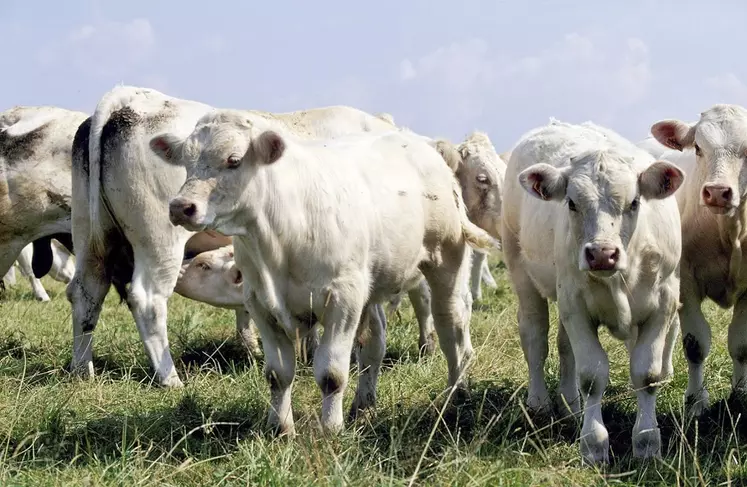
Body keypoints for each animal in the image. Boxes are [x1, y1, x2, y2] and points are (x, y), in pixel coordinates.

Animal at [66, 85, 410, 388]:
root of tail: (131, 98)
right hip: (159, 241)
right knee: (148, 300)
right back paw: (169, 378)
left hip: (89, 235)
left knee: (85, 292)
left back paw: (83, 371)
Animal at [150, 110, 502, 434]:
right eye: (185, 161)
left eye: (233, 160)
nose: (180, 207)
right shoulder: (260, 303)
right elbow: (278, 374)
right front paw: (280, 428)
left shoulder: (341, 300)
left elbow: (332, 374)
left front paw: (331, 429)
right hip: (371, 288)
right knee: (373, 347)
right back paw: (363, 406)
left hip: (445, 265)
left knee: (452, 334)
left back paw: (456, 397)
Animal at [506, 119, 688, 466]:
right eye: (572, 203)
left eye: (634, 202)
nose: (602, 254)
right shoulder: (575, 305)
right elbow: (592, 375)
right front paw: (593, 443)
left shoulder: (663, 304)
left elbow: (647, 373)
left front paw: (647, 442)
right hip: (522, 273)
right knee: (535, 338)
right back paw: (539, 402)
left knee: (564, 347)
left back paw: (570, 405)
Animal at [652, 105, 747, 418]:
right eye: (698, 147)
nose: (717, 191)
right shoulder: (686, 282)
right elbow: (695, 344)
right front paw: (695, 400)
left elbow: (740, 344)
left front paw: (740, 394)